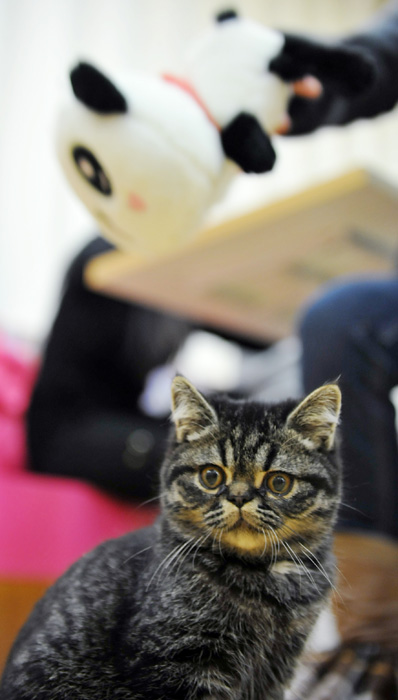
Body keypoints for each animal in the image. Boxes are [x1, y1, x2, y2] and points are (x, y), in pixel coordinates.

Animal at [0, 378, 342, 700]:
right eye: (211, 476)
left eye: (279, 482)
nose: (239, 497)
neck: (261, 580)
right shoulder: (175, 662)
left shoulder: (278, 669)